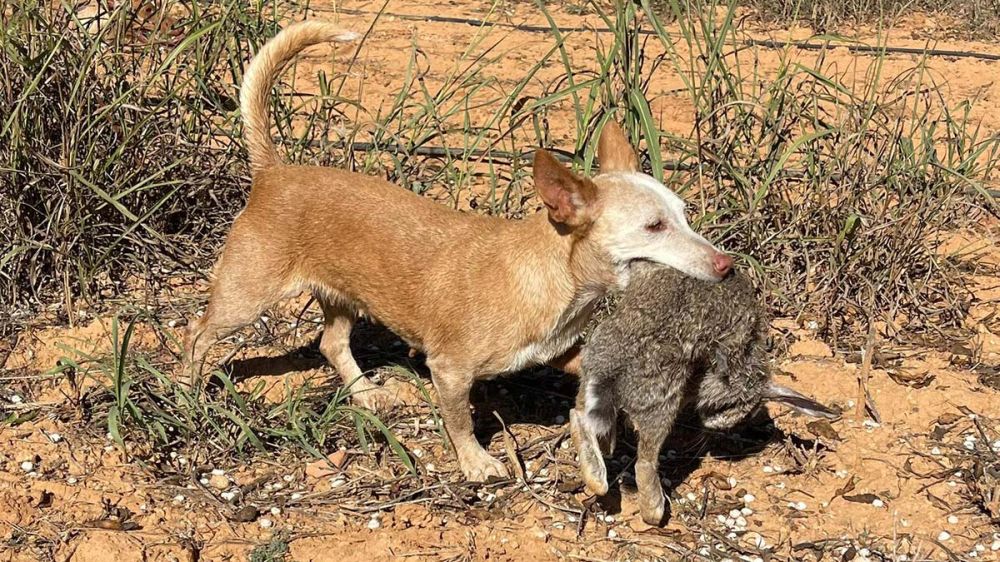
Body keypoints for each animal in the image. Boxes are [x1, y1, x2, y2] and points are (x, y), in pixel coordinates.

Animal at [184, 19, 732, 480]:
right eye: (654, 227)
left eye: (685, 215)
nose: (727, 265)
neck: (556, 280)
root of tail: (273, 171)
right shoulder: (448, 370)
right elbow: (460, 421)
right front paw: (475, 462)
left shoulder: (562, 351)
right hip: (245, 297)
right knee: (196, 334)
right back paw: (188, 391)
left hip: (341, 297)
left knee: (331, 344)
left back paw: (365, 393)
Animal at [572, 260, 836, 524]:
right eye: (736, 407)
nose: (715, 425)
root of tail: (612, 371)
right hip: (661, 406)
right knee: (645, 461)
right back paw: (654, 512)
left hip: (591, 374)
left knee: (579, 416)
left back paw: (597, 474)